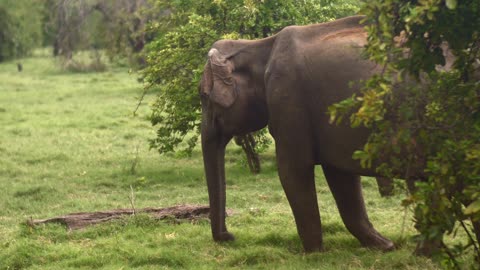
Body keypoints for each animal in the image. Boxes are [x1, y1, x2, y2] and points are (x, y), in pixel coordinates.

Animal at [199, 15, 480, 254]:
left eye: (203, 97)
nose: (229, 236)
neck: (259, 46)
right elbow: (341, 176)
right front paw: (384, 246)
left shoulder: (288, 101)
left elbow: (293, 170)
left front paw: (313, 253)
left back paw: (423, 254)